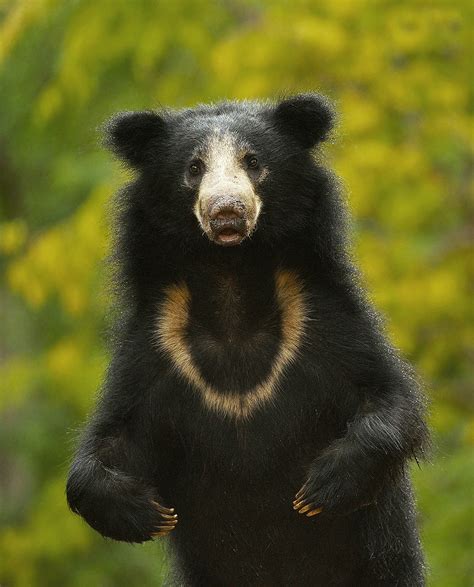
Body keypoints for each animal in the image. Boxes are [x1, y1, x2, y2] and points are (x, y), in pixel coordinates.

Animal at [65, 94, 430, 584]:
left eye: (253, 162)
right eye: (194, 167)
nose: (226, 210)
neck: (231, 278)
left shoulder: (323, 322)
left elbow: (389, 400)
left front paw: (321, 488)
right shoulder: (156, 346)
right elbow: (115, 438)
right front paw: (145, 513)